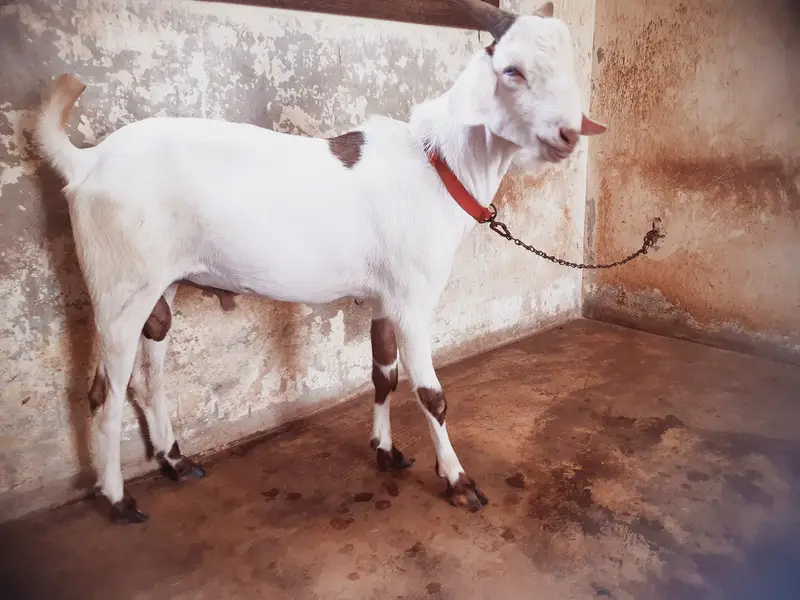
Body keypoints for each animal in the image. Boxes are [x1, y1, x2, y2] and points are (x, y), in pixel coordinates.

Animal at [36, 0, 606, 523]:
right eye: (512, 71)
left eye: (568, 72)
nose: (566, 136)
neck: (438, 165)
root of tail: (86, 161)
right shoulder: (413, 298)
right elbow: (431, 393)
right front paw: (457, 481)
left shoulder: (383, 297)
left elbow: (383, 376)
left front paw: (385, 451)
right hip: (118, 284)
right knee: (104, 392)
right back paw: (117, 499)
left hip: (162, 283)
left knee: (148, 373)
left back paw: (175, 462)